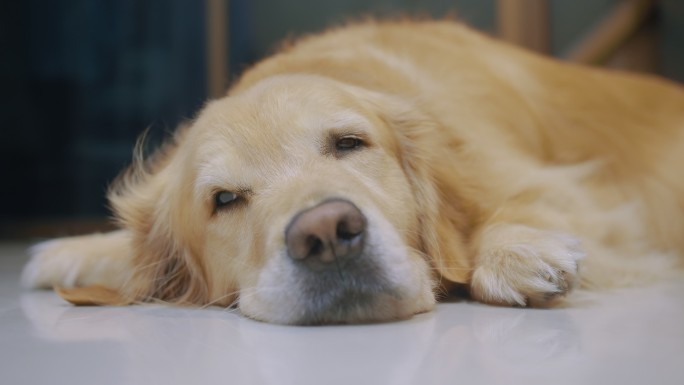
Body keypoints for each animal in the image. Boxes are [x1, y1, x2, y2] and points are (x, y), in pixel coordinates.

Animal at [21, 19, 684, 322]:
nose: (327, 234)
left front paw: (514, 250)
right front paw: (66, 252)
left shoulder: (586, 194)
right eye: (225, 199)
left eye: (348, 143)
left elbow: (520, 206)